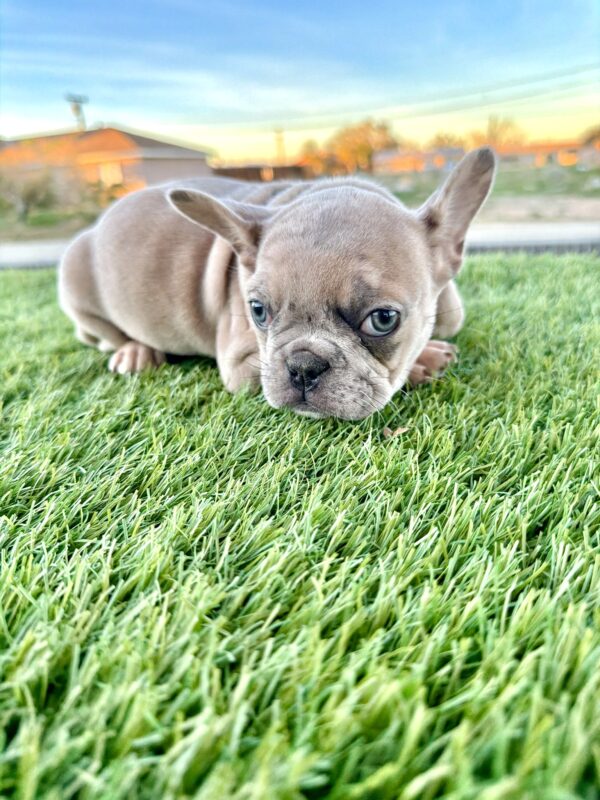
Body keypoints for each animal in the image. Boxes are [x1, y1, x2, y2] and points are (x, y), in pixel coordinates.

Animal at [59, 147, 496, 420]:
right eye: (257, 311)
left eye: (383, 319)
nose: (303, 367)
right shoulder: (241, 364)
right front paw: (425, 359)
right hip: (75, 284)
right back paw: (135, 352)